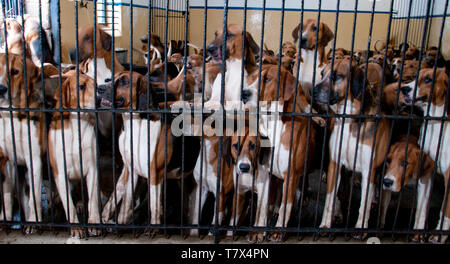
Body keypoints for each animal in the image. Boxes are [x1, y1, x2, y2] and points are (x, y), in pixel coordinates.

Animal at [48, 69, 100, 237]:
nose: (100, 100)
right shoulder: (60, 174)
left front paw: (94, 223)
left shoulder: (93, 169)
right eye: (81, 86)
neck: (78, 124)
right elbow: (68, 206)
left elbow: (93, 200)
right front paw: (76, 228)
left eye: (95, 85)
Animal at [312, 58, 390, 236]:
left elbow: (364, 203)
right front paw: (325, 224)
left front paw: (361, 227)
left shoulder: (369, 170)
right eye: (322, 73)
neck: (349, 119)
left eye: (337, 76)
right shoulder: (335, 164)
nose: (313, 91)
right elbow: (331, 197)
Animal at [400, 68, 450, 243]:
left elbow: (445, 210)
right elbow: (421, 207)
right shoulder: (427, 171)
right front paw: (418, 232)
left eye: (428, 79)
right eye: (416, 76)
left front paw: (439, 235)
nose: (404, 88)